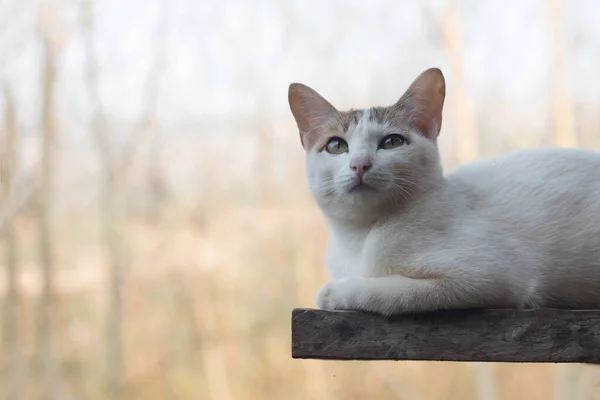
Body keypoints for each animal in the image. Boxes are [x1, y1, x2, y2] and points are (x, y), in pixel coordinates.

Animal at [286, 67, 600, 316]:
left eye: (392, 142)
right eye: (336, 146)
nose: (360, 164)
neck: (360, 237)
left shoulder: (489, 277)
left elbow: (390, 292)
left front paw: (337, 292)